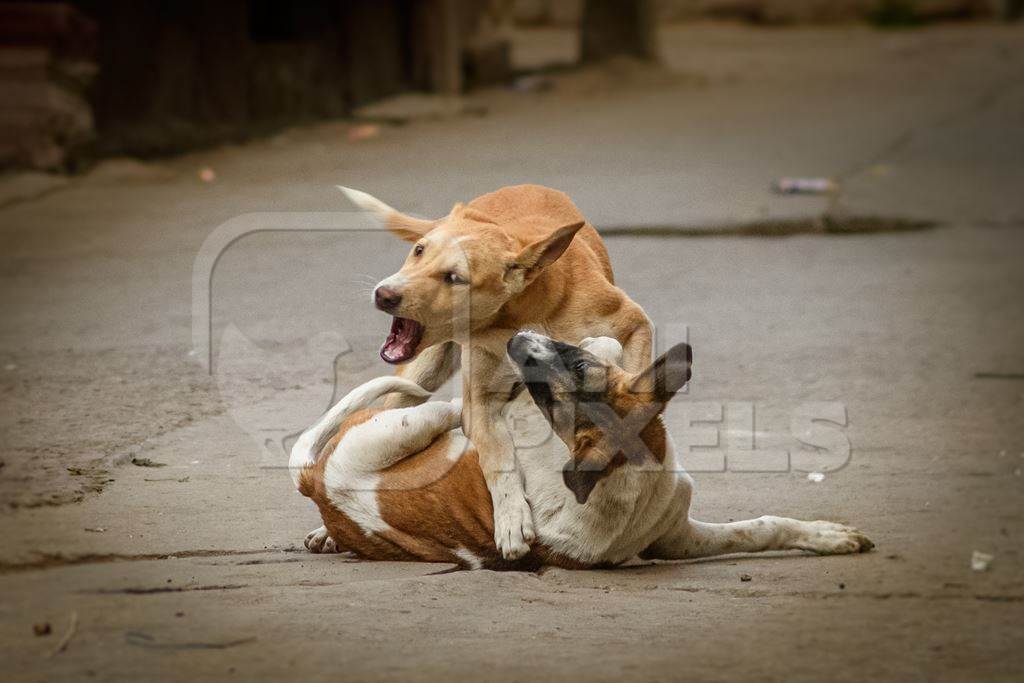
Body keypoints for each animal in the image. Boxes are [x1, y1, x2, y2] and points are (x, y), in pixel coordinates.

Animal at [292, 333, 876, 569]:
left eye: (572, 370)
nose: (516, 337)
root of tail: (317, 480)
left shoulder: (676, 539)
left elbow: (760, 528)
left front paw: (827, 537)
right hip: (412, 421)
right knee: (439, 407)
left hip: (410, 424)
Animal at [339, 184, 651, 557]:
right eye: (419, 250)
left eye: (455, 278)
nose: (384, 294)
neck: (517, 315)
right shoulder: (480, 406)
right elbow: (498, 459)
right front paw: (512, 519)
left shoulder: (635, 326)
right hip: (417, 375)